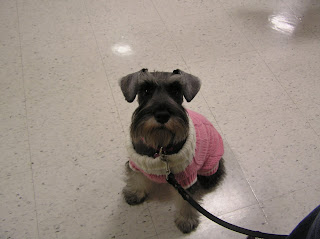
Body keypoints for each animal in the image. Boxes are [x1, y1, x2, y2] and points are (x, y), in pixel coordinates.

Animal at [119, 68, 225, 232]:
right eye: (146, 90)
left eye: (176, 90)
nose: (162, 115)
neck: (161, 147)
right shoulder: (137, 164)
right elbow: (137, 178)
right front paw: (134, 193)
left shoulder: (186, 179)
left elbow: (186, 201)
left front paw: (186, 220)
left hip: (210, 167)